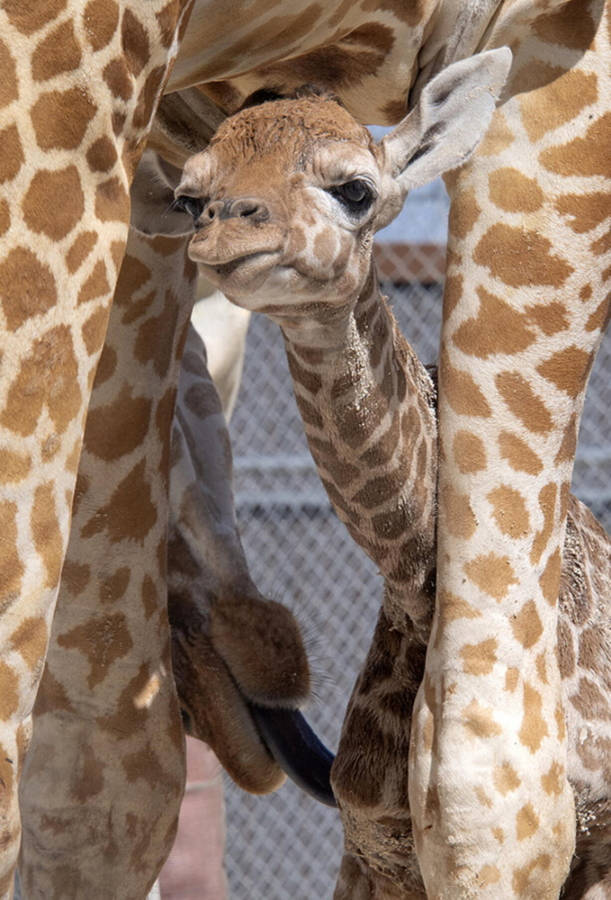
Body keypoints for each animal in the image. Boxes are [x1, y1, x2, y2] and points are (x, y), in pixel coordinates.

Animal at [175, 52, 608, 896]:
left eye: (353, 188)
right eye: (190, 198)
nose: (227, 231)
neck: (416, 588)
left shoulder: (587, 836)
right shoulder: (372, 839)